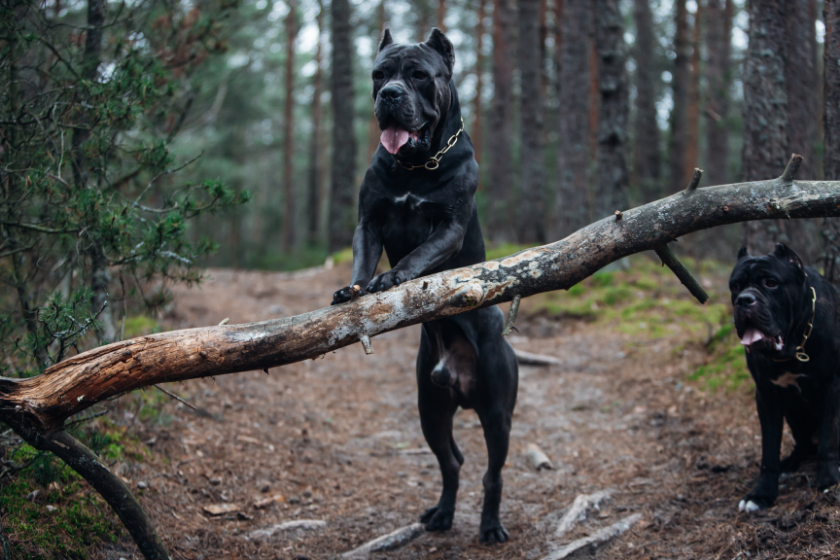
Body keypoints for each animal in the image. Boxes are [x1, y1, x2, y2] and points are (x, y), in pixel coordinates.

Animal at [330, 27, 520, 544]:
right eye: (379, 75)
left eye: (418, 75)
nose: (390, 95)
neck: (415, 165)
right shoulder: (368, 222)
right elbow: (361, 259)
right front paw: (353, 289)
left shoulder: (449, 228)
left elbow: (419, 257)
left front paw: (392, 277)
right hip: (430, 410)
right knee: (451, 463)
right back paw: (442, 514)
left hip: (497, 413)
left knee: (492, 473)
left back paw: (490, 525)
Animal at [728, 244, 840, 512]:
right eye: (735, 286)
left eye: (771, 283)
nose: (744, 300)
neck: (793, 345)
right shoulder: (767, 395)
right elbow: (769, 450)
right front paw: (762, 493)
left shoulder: (833, 386)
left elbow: (829, 440)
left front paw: (828, 480)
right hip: (794, 414)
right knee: (803, 443)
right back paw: (789, 464)